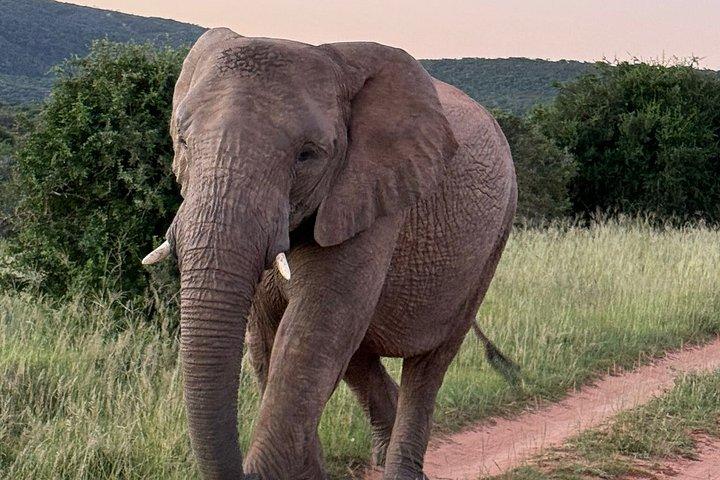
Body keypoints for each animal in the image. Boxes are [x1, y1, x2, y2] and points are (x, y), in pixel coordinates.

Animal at [142, 27, 517, 480]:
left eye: (308, 155)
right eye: (182, 141)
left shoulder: (373, 196)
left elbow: (312, 333)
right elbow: (268, 337)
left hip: (495, 236)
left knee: (428, 365)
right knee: (358, 355)